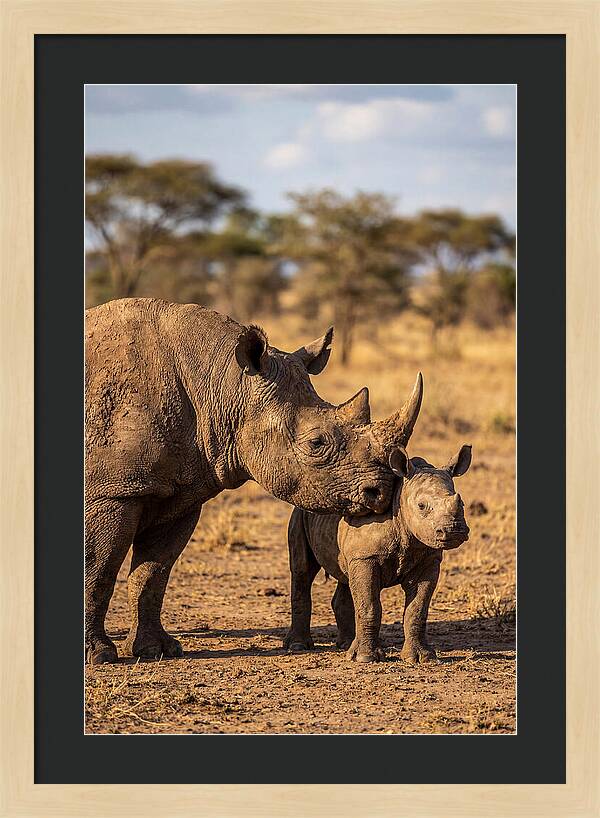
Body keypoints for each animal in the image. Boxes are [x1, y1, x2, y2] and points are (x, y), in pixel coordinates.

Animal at [85, 298, 421, 664]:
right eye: (316, 443)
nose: (381, 492)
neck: (224, 384)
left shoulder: (181, 492)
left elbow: (153, 573)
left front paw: (156, 650)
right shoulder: (113, 492)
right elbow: (98, 568)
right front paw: (99, 656)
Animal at [284, 442, 472, 663]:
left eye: (462, 503)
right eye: (421, 506)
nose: (454, 530)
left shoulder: (428, 560)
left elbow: (417, 609)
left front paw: (422, 658)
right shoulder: (366, 557)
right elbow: (369, 606)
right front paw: (366, 658)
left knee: (345, 576)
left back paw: (346, 645)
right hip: (299, 513)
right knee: (302, 571)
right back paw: (298, 646)